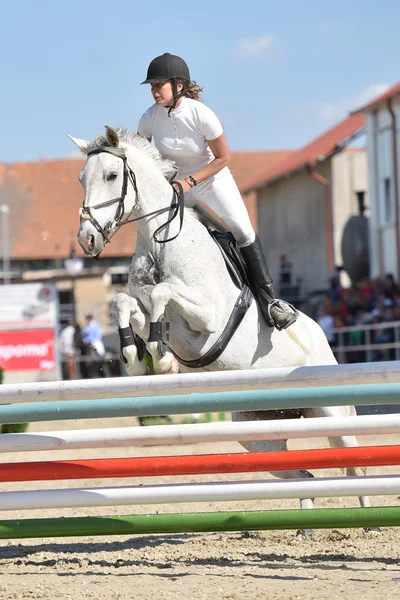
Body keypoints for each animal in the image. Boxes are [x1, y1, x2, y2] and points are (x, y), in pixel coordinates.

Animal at [69, 127, 372, 520]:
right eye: (81, 178)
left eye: (111, 175)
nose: (86, 240)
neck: (161, 242)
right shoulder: (147, 306)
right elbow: (126, 302)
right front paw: (138, 358)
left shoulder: (206, 316)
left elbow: (162, 293)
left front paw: (160, 358)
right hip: (256, 433)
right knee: (303, 474)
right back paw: (305, 522)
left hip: (332, 412)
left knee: (354, 463)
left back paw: (369, 522)